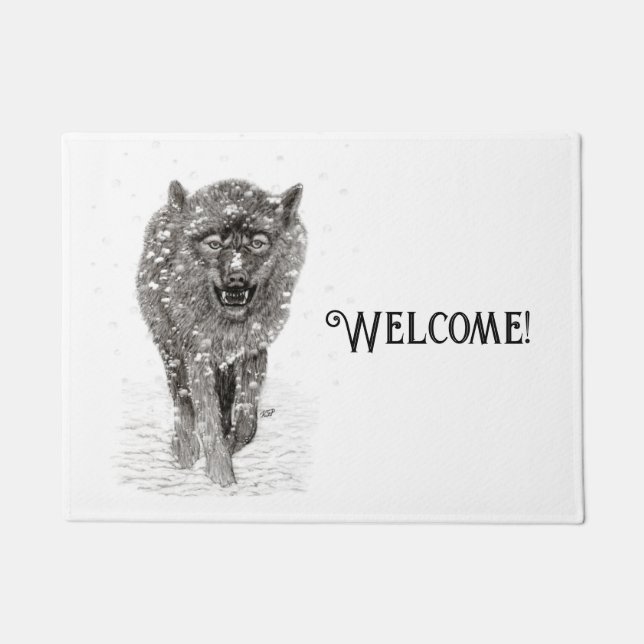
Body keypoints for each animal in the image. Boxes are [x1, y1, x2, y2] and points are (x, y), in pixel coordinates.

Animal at [136, 179, 306, 486]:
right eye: (214, 244)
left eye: (257, 243)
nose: (236, 278)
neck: (228, 327)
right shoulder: (197, 357)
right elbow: (207, 418)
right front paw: (220, 474)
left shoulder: (253, 351)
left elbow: (246, 420)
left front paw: (228, 447)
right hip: (171, 352)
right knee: (182, 401)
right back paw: (184, 449)